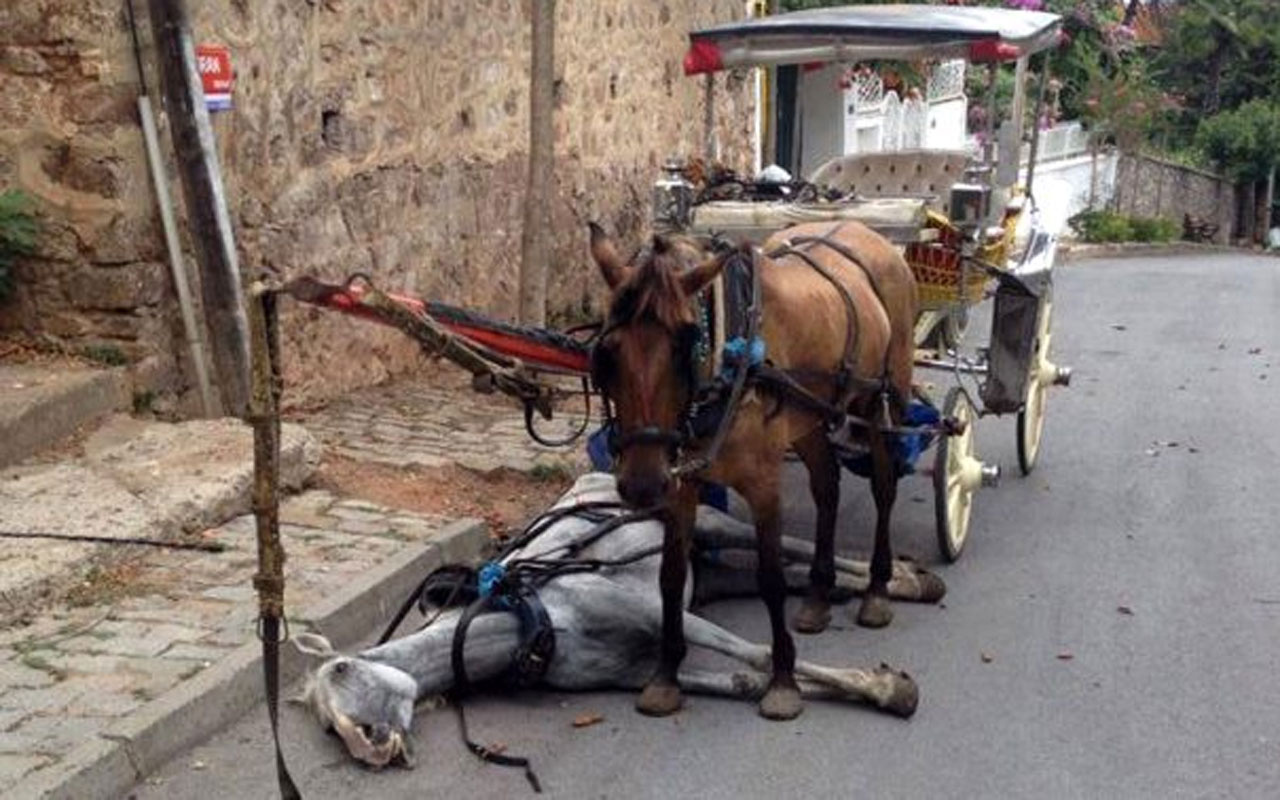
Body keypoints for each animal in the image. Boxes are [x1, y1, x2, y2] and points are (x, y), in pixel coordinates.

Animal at [294, 473, 947, 768]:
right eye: (326, 727)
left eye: (343, 671)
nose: (371, 749)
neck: (533, 621)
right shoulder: (632, 673)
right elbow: (742, 680)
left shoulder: (656, 613)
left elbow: (760, 655)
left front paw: (889, 689)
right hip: (705, 575)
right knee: (773, 574)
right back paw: (876, 585)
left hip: (709, 523)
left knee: (786, 546)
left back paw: (899, 580)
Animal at [588, 216, 921, 716]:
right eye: (607, 354)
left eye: (685, 346)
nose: (642, 485)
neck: (730, 361)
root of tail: (864, 229)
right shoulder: (681, 484)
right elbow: (671, 576)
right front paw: (665, 676)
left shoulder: (764, 486)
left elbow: (771, 577)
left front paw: (783, 680)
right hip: (808, 421)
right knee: (828, 487)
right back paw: (818, 597)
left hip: (883, 402)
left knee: (883, 488)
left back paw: (878, 591)